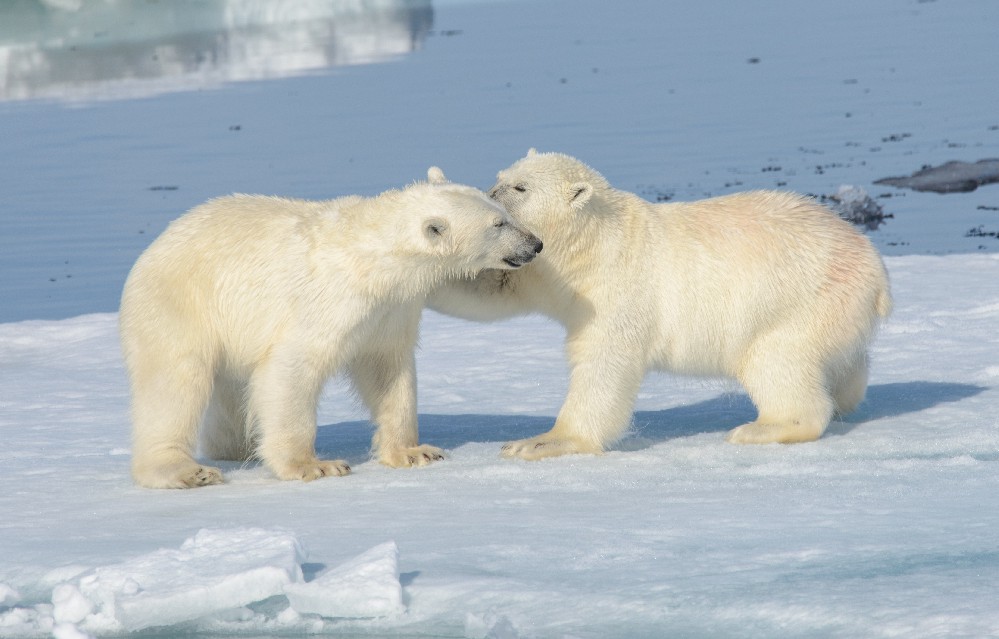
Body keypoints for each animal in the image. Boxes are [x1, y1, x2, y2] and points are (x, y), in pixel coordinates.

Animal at [120, 168, 543, 488]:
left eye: (502, 211)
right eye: (499, 223)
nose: (536, 244)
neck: (377, 261)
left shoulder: (390, 309)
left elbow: (388, 371)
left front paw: (413, 451)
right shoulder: (327, 303)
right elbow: (292, 369)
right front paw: (313, 465)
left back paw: (236, 447)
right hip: (180, 307)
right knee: (175, 384)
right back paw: (185, 471)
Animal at [429, 150, 892, 459]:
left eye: (520, 188)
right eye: (500, 176)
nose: (488, 194)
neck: (591, 244)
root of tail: (874, 268)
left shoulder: (616, 286)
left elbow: (604, 364)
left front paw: (540, 441)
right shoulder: (544, 271)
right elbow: (492, 291)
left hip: (798, 301)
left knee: (776, 360)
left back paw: (761, 428)